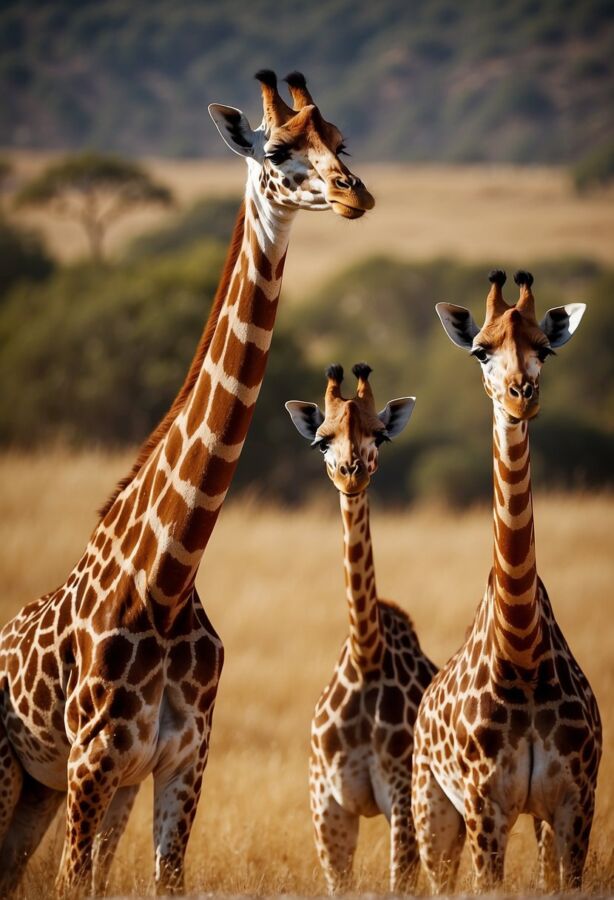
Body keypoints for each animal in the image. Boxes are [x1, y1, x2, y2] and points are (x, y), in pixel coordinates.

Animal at [0, 71, 374, 896]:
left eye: (342, 139)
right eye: (278, 148)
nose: (355, 193)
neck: (166, 584)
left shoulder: (178, 762)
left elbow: (159, 878)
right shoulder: (92, 759)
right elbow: (75, 882)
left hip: (40, 788)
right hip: (15, 771)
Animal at [286, 363, 436, 893]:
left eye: (380, 435)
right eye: (321, 440)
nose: (351, 474)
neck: (367, 656)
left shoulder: (402, 799)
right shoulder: (327, 806)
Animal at [411, 269, 602, 893]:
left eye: (546, 349)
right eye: (481, 349)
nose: (522, 395)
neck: (522, 655)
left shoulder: (575, 803)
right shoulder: (484, 807)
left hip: (535, 821)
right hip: (432, 809)